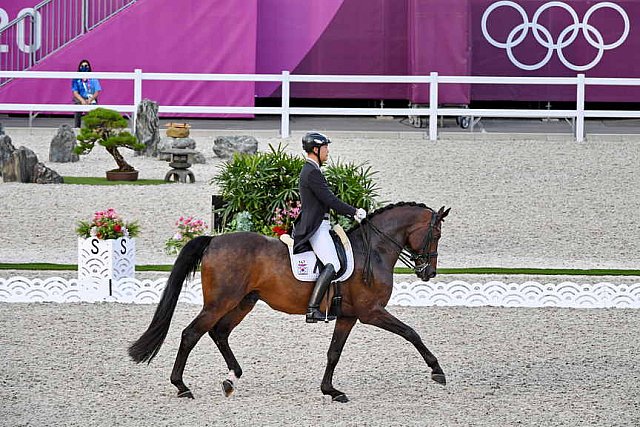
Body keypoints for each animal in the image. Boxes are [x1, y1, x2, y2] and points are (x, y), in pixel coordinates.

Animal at [129, 202, 450, 402]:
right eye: (435, 234)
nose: (429, 272)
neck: (374, 250)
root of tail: (213, 240)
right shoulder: (371, 312)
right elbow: (411, 332)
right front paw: (437, 371)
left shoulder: (348, 316)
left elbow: (334, 353)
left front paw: (331, 391)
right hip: (220, 302)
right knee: (191, 334)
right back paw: (182, 386)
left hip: (243, 302)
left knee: (219, 332)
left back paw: (232, 378)